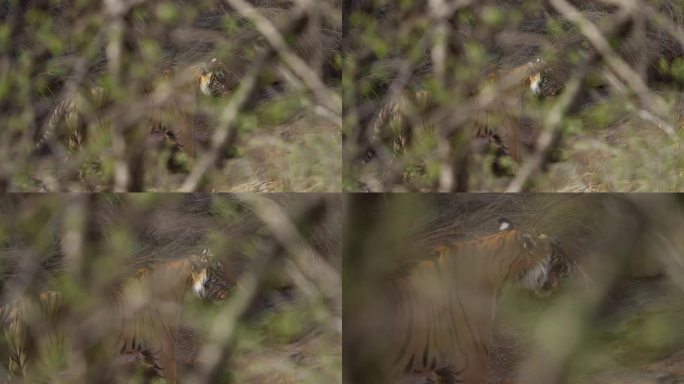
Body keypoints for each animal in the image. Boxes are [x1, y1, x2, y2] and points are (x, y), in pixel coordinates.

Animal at [0, 248, 232, 382]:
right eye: (220, 273)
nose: (236, 287)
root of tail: (14, 306)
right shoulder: (165, 348)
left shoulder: (146, 354)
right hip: (37, 365)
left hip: (16, 366)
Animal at [368, 58, 560, 177]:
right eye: (550, 76)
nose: (560, 89)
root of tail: (395, 103)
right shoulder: (509, 129)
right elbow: (515, 154)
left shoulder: (496, 134)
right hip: (415, 148)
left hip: (400, 147)